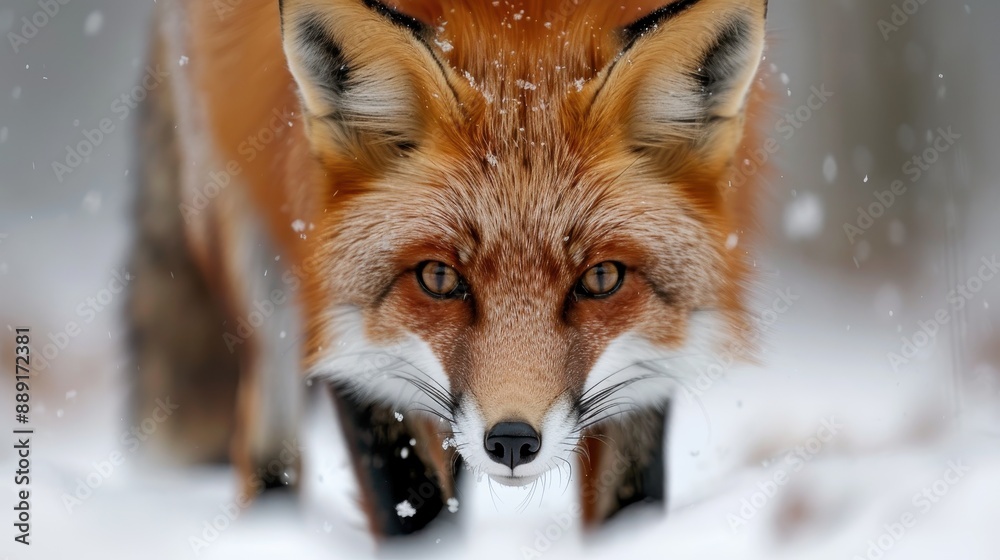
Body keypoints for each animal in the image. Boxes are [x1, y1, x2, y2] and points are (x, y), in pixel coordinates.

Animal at [127, 0, 768, 538]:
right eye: (438, 278)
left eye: (601, 279)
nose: (511, 442)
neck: (519, 17)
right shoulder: (341, 305)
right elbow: (408, 494)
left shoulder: (650, 348)